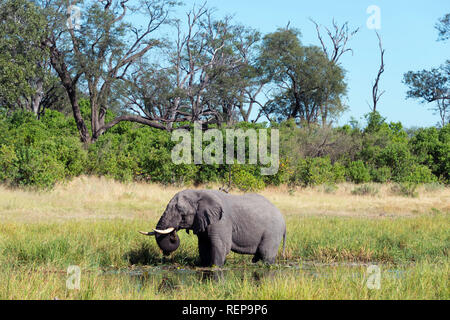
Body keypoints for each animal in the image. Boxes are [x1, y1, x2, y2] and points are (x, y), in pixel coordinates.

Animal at [139, 189, 286, 266]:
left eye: (182, 213)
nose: (174, 234)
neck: (198, 193)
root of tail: (284, 221)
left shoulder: (222, 222)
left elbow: (220, 246)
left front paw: (215, 267)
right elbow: (203, 246)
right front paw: (205, 266)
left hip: (273, 233)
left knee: (266, 254)